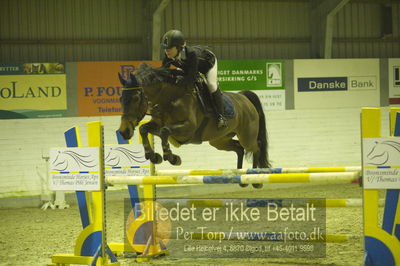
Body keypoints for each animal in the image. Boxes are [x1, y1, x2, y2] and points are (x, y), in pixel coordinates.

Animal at [117, 62, 270, 188]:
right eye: (120, 99)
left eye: (135, 98)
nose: (124, 131)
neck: (170, 98)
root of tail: (244, 97)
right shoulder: (158, 124)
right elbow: (144, 129)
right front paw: (153, 156)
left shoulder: (188, 129)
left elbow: (165, 131)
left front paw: (172, 157)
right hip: (219, 141)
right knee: (239, 149)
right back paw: (241, 178)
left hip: (246, 137)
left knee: (256, 147)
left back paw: (256, 180)